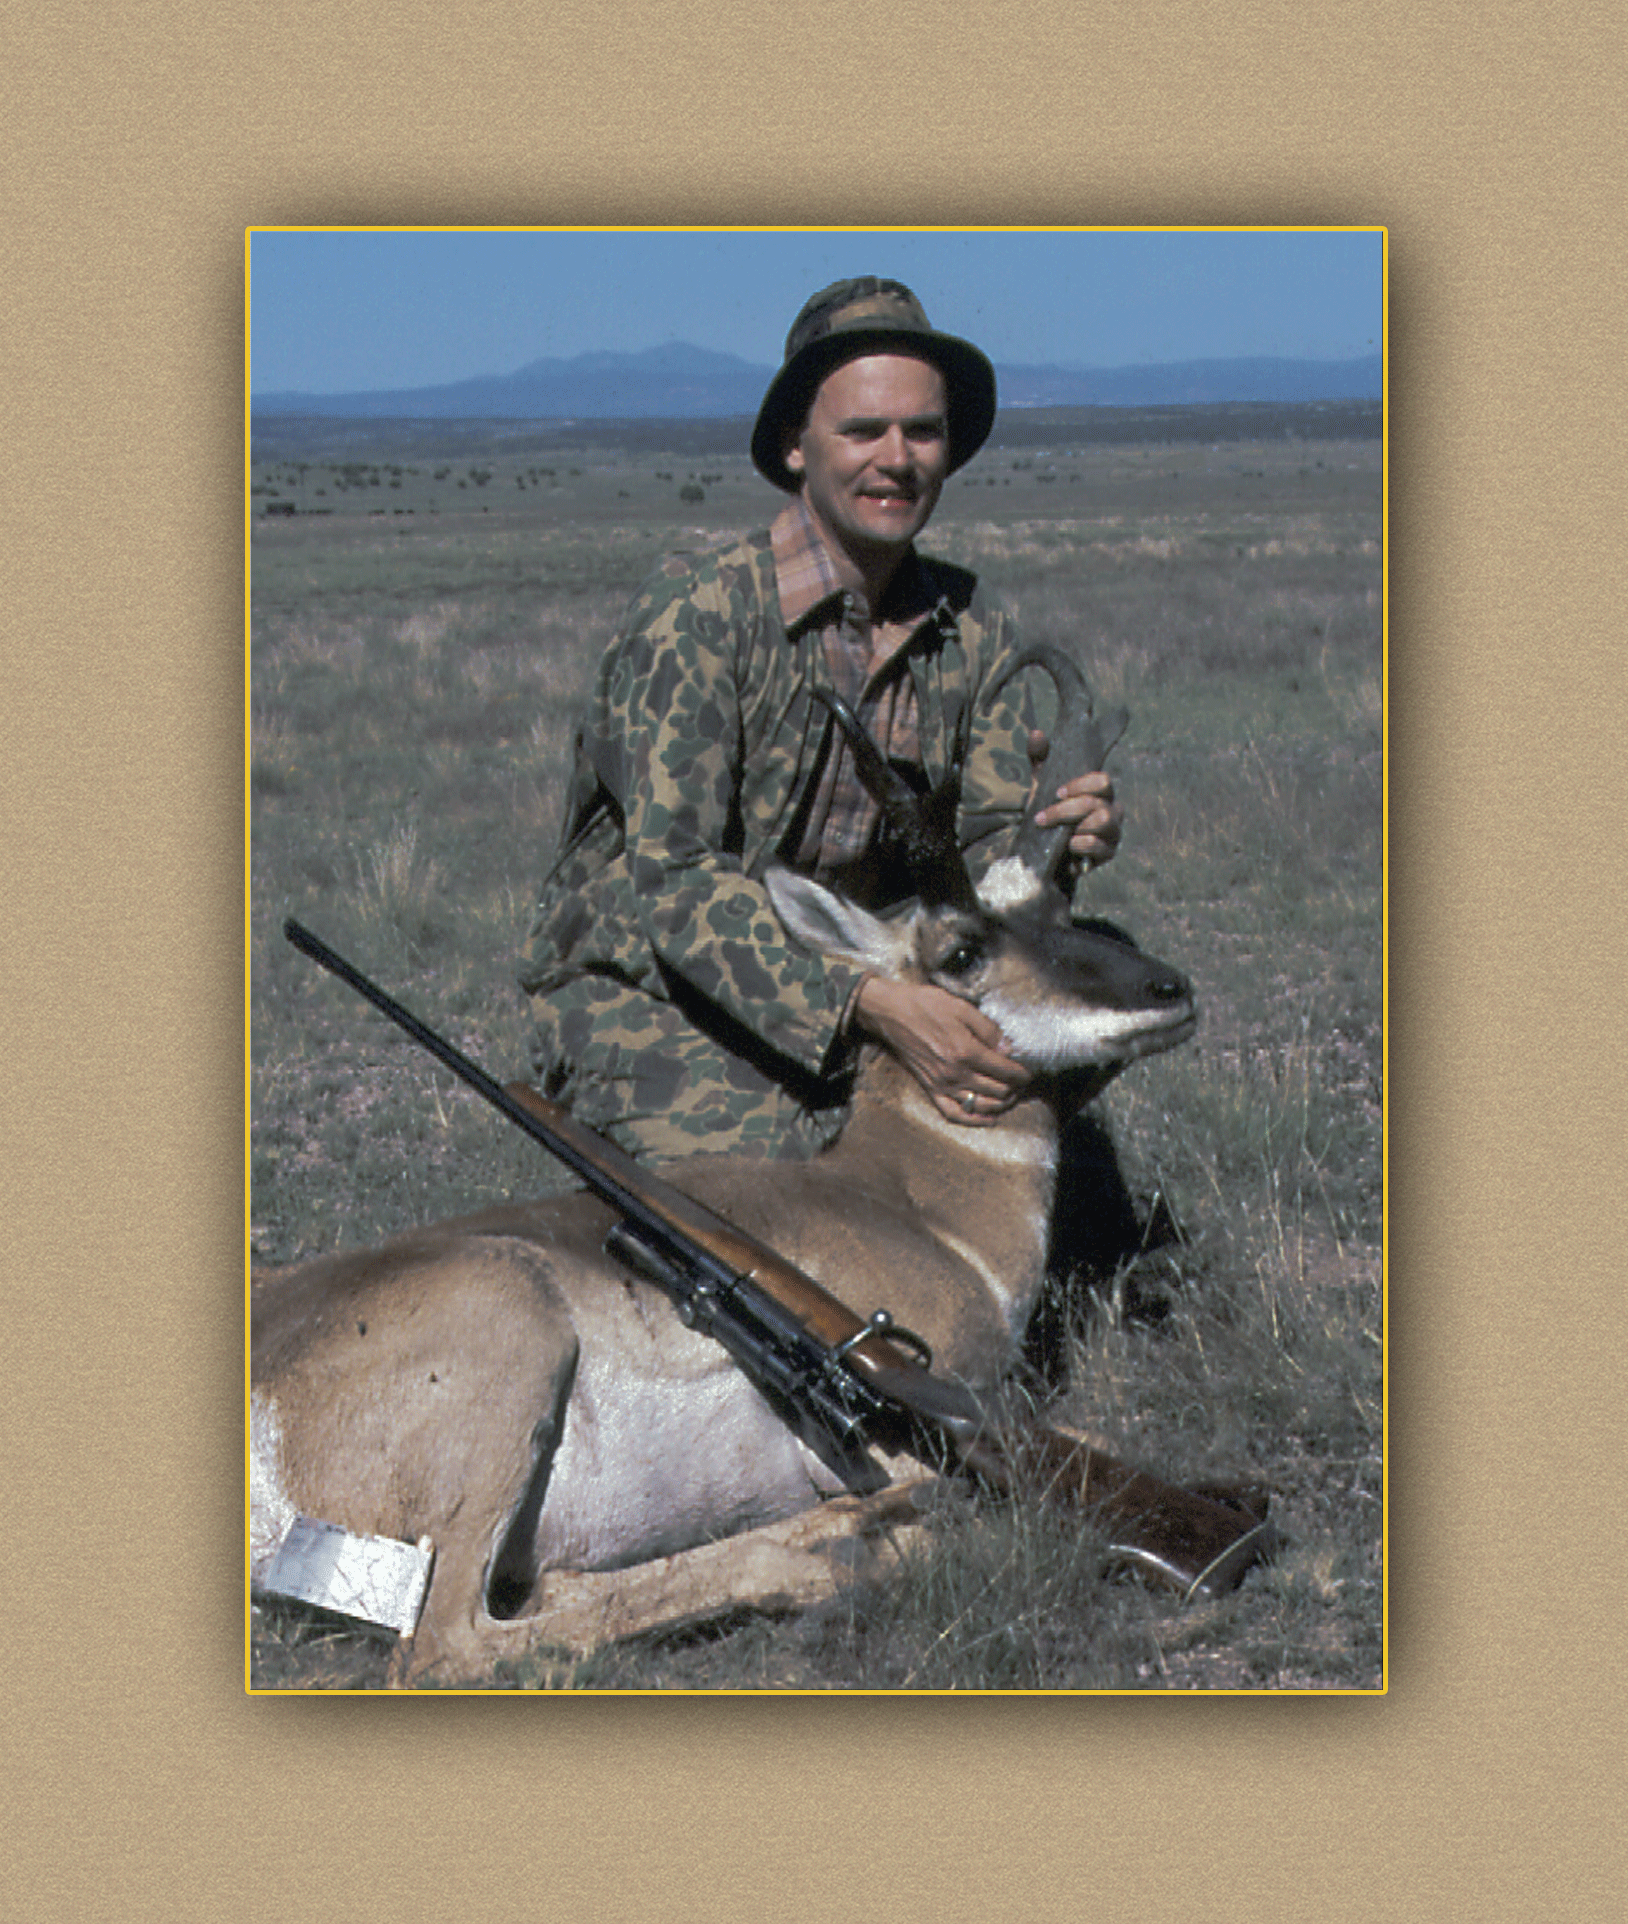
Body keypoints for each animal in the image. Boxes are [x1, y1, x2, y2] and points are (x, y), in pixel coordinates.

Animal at [250, 653, 1210, 1685]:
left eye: (1059, 908)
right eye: (962, 950)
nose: (1170, 989)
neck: (910, 1202)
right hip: (510, 1344)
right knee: (450, 1644)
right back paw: (841, 1549)